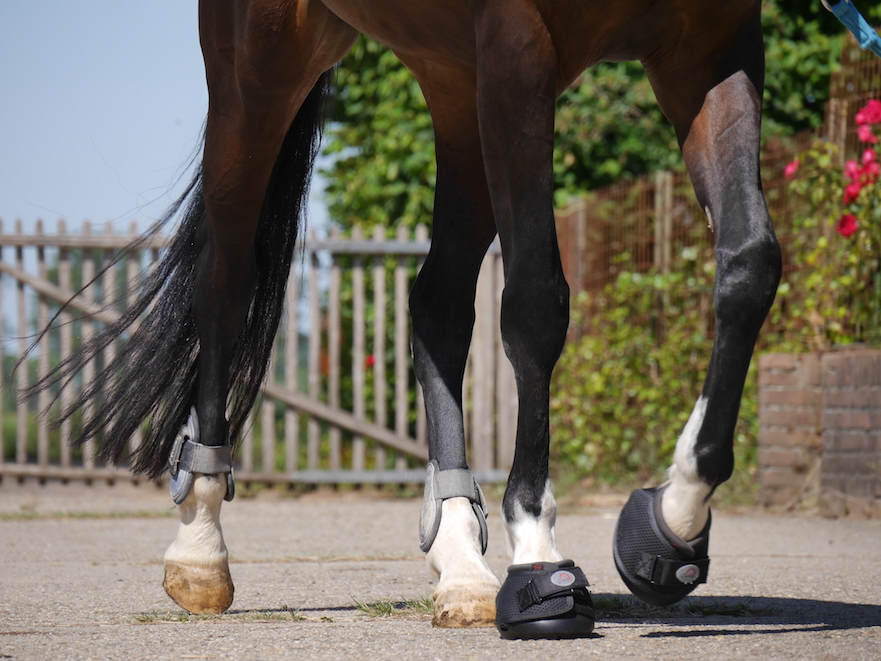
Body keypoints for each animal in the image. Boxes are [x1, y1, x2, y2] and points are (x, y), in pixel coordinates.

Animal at [20, 0, 780, 640]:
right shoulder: (518, 45)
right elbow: (537, 303)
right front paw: (537, 556)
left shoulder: (713, 45)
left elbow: (750, 266)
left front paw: (670, 527)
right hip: (261, 65)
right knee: (223, 287)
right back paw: (201, 548)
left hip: (457, 82)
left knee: (437, 304)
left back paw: (462, 564)